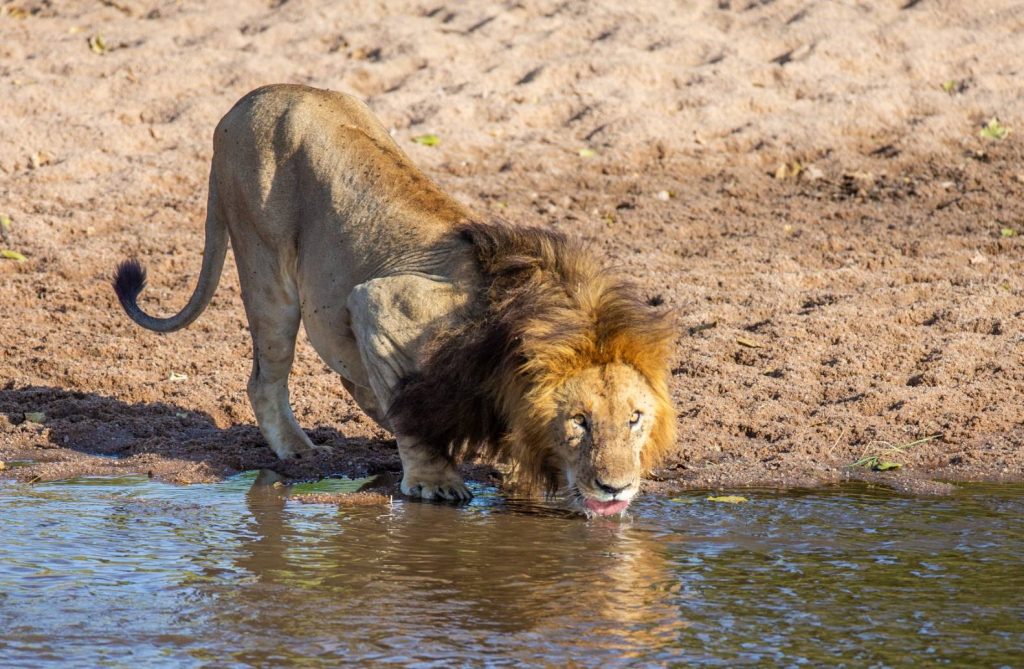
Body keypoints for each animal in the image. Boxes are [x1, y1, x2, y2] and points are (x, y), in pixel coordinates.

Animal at [112, 81, 675, 512]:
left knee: (349, 377)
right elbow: (414, 418)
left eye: (634, 418)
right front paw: (437, 482)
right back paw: (301, 452)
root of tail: (248, 100)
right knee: (265, 381)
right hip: (265, 268)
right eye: (579, 420)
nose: (616, 487)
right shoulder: (380, 303)